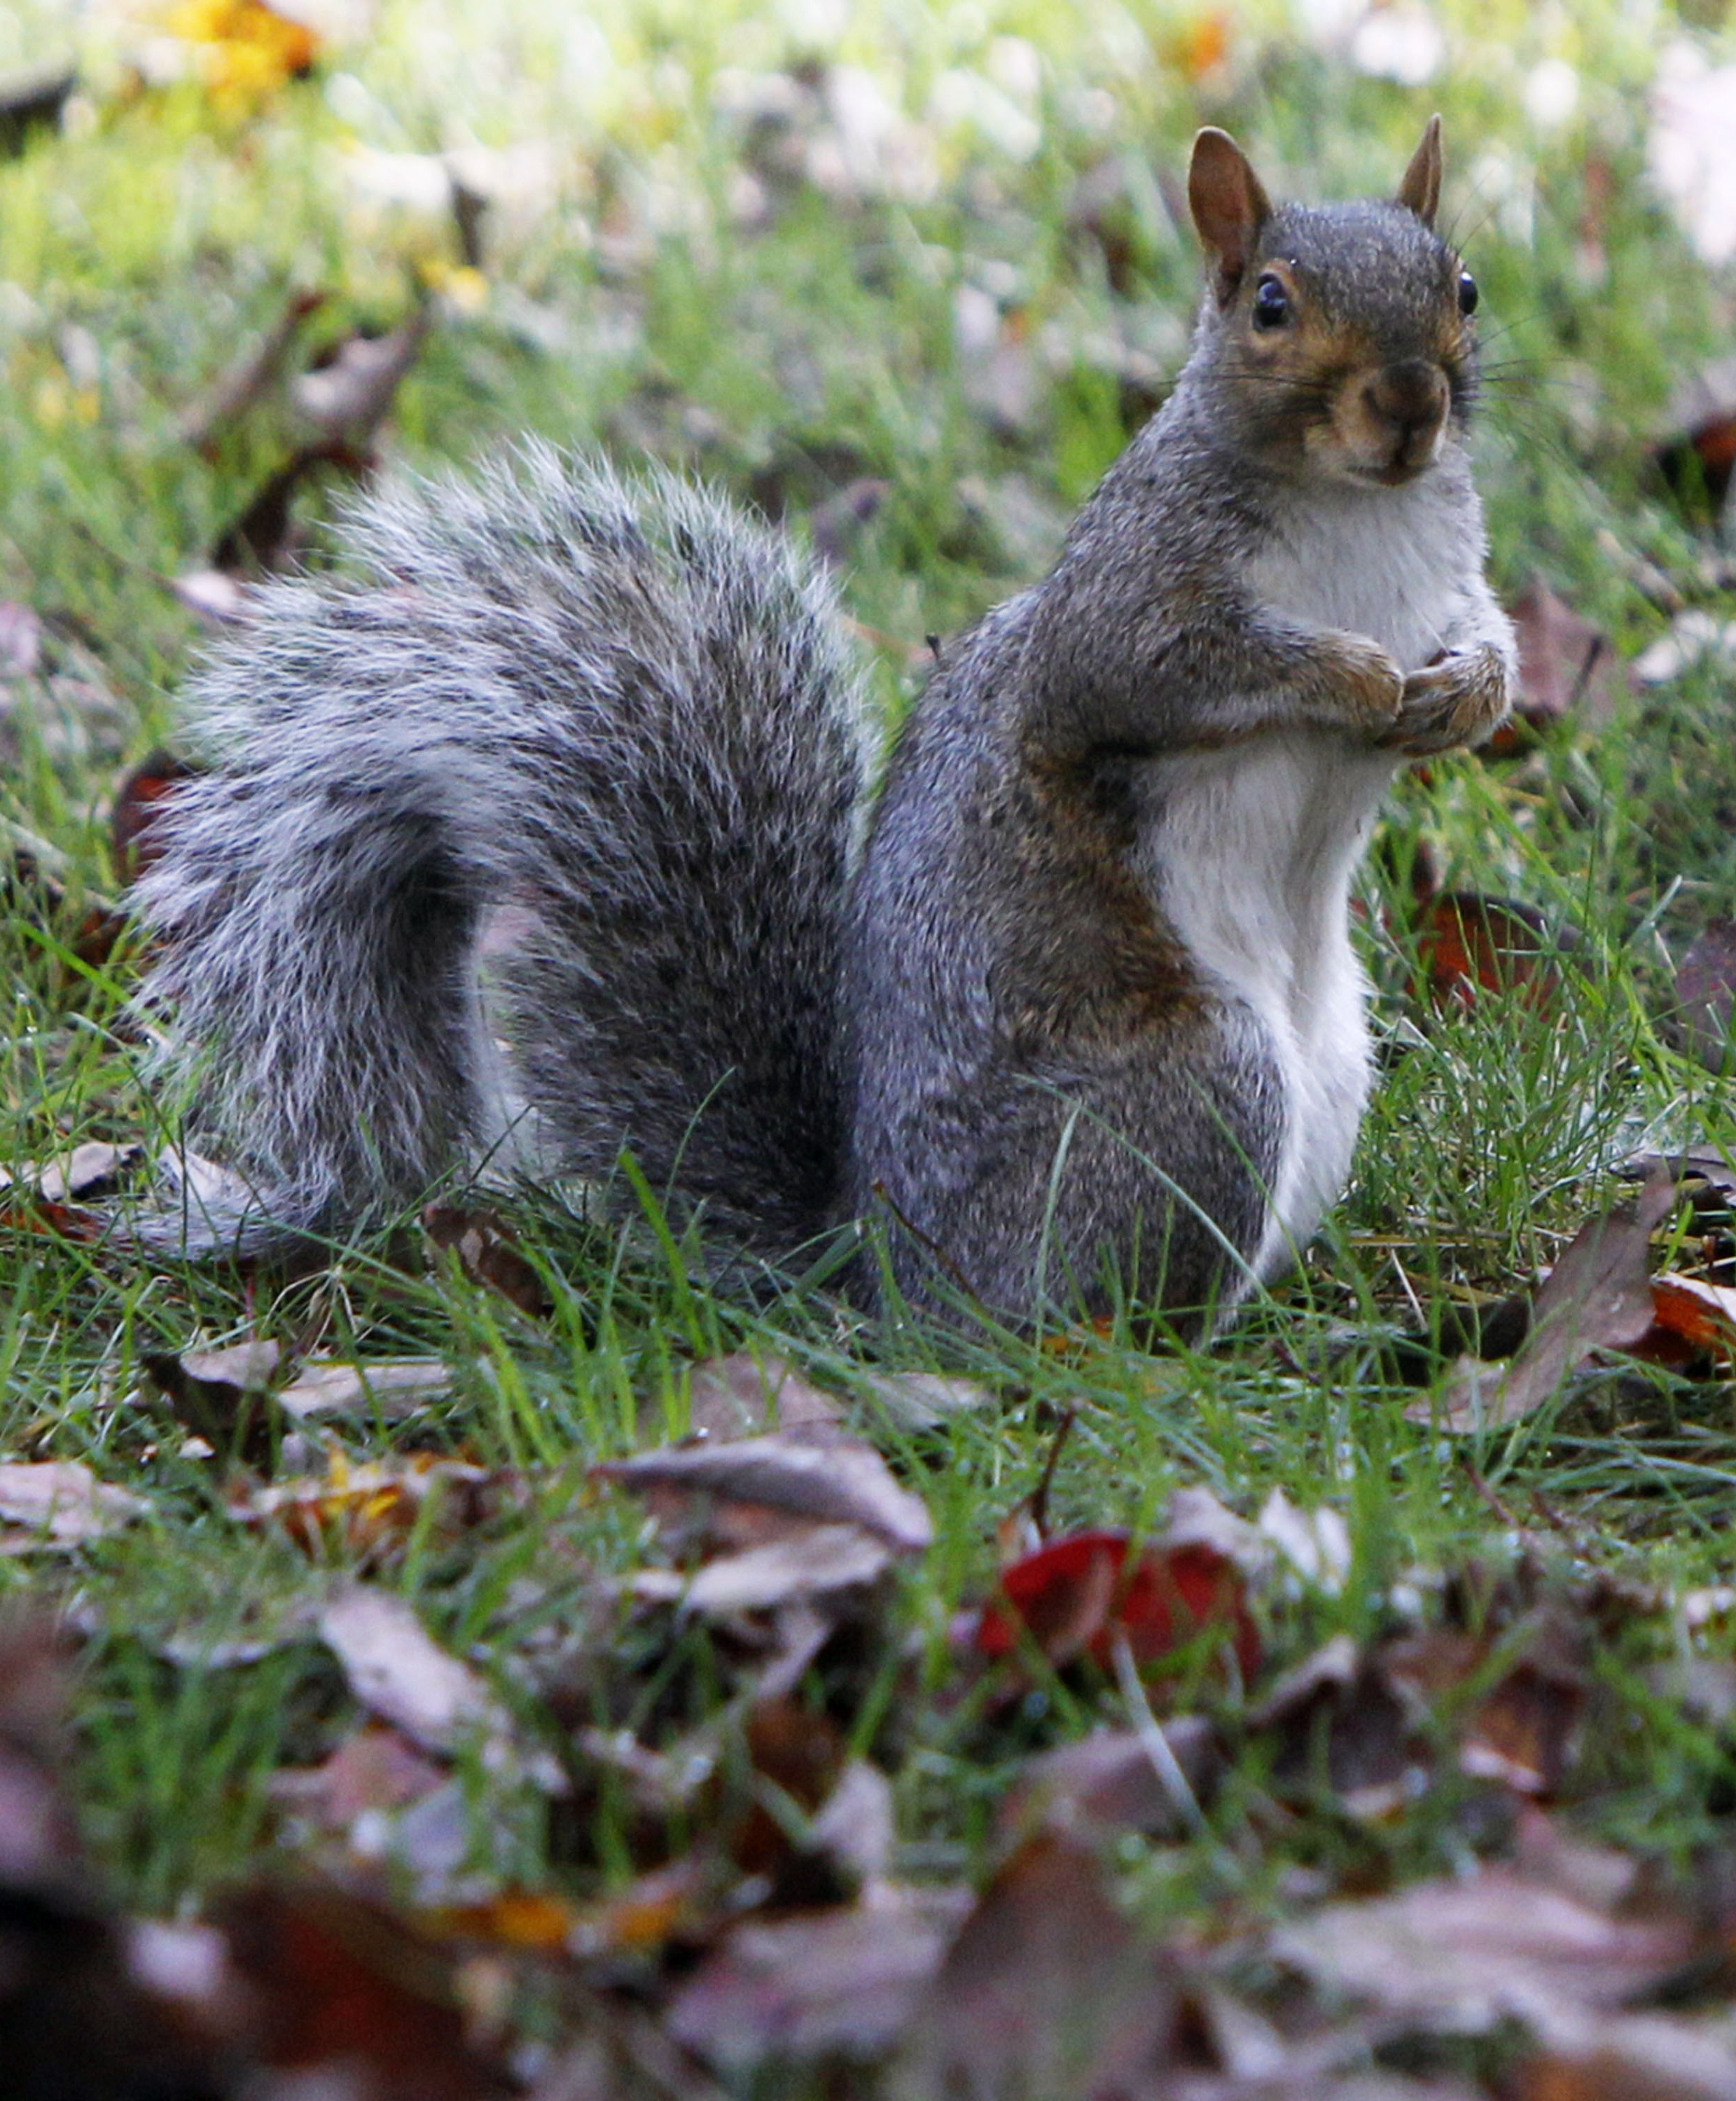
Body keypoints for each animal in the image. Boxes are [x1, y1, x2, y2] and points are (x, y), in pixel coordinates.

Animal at [131, 119, 1514, 1329]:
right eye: (1269, 306)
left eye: (1461, 286)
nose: (1407, 405)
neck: (1358, 511)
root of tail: (875, 1266)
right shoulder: (1127, 599)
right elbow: (1160, 670)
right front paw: (1354, 678)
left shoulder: (1444, 573)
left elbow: (1480, 625)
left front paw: (1471, 690)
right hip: (1197, 1089)